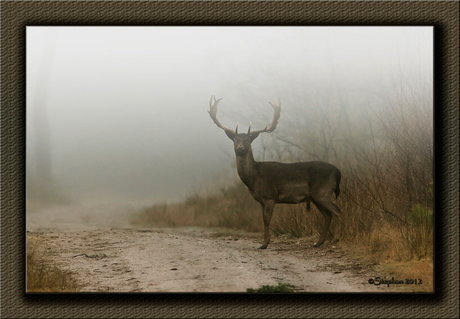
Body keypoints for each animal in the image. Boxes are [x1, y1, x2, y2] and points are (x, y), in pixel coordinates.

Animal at [208, 95, 342, 250]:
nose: (240, 147)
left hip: (323, 191)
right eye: (235, 140)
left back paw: (335, 239)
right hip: (316, 197)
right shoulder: (261, 200)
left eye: (248, 140)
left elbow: (267, 219)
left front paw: (264, 244)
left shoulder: (270, 196)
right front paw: (264, 242)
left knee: (337, 211)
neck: (254, 179)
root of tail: (338, 172)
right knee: (327, 215)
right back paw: (318, 242)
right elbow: (262, 219)